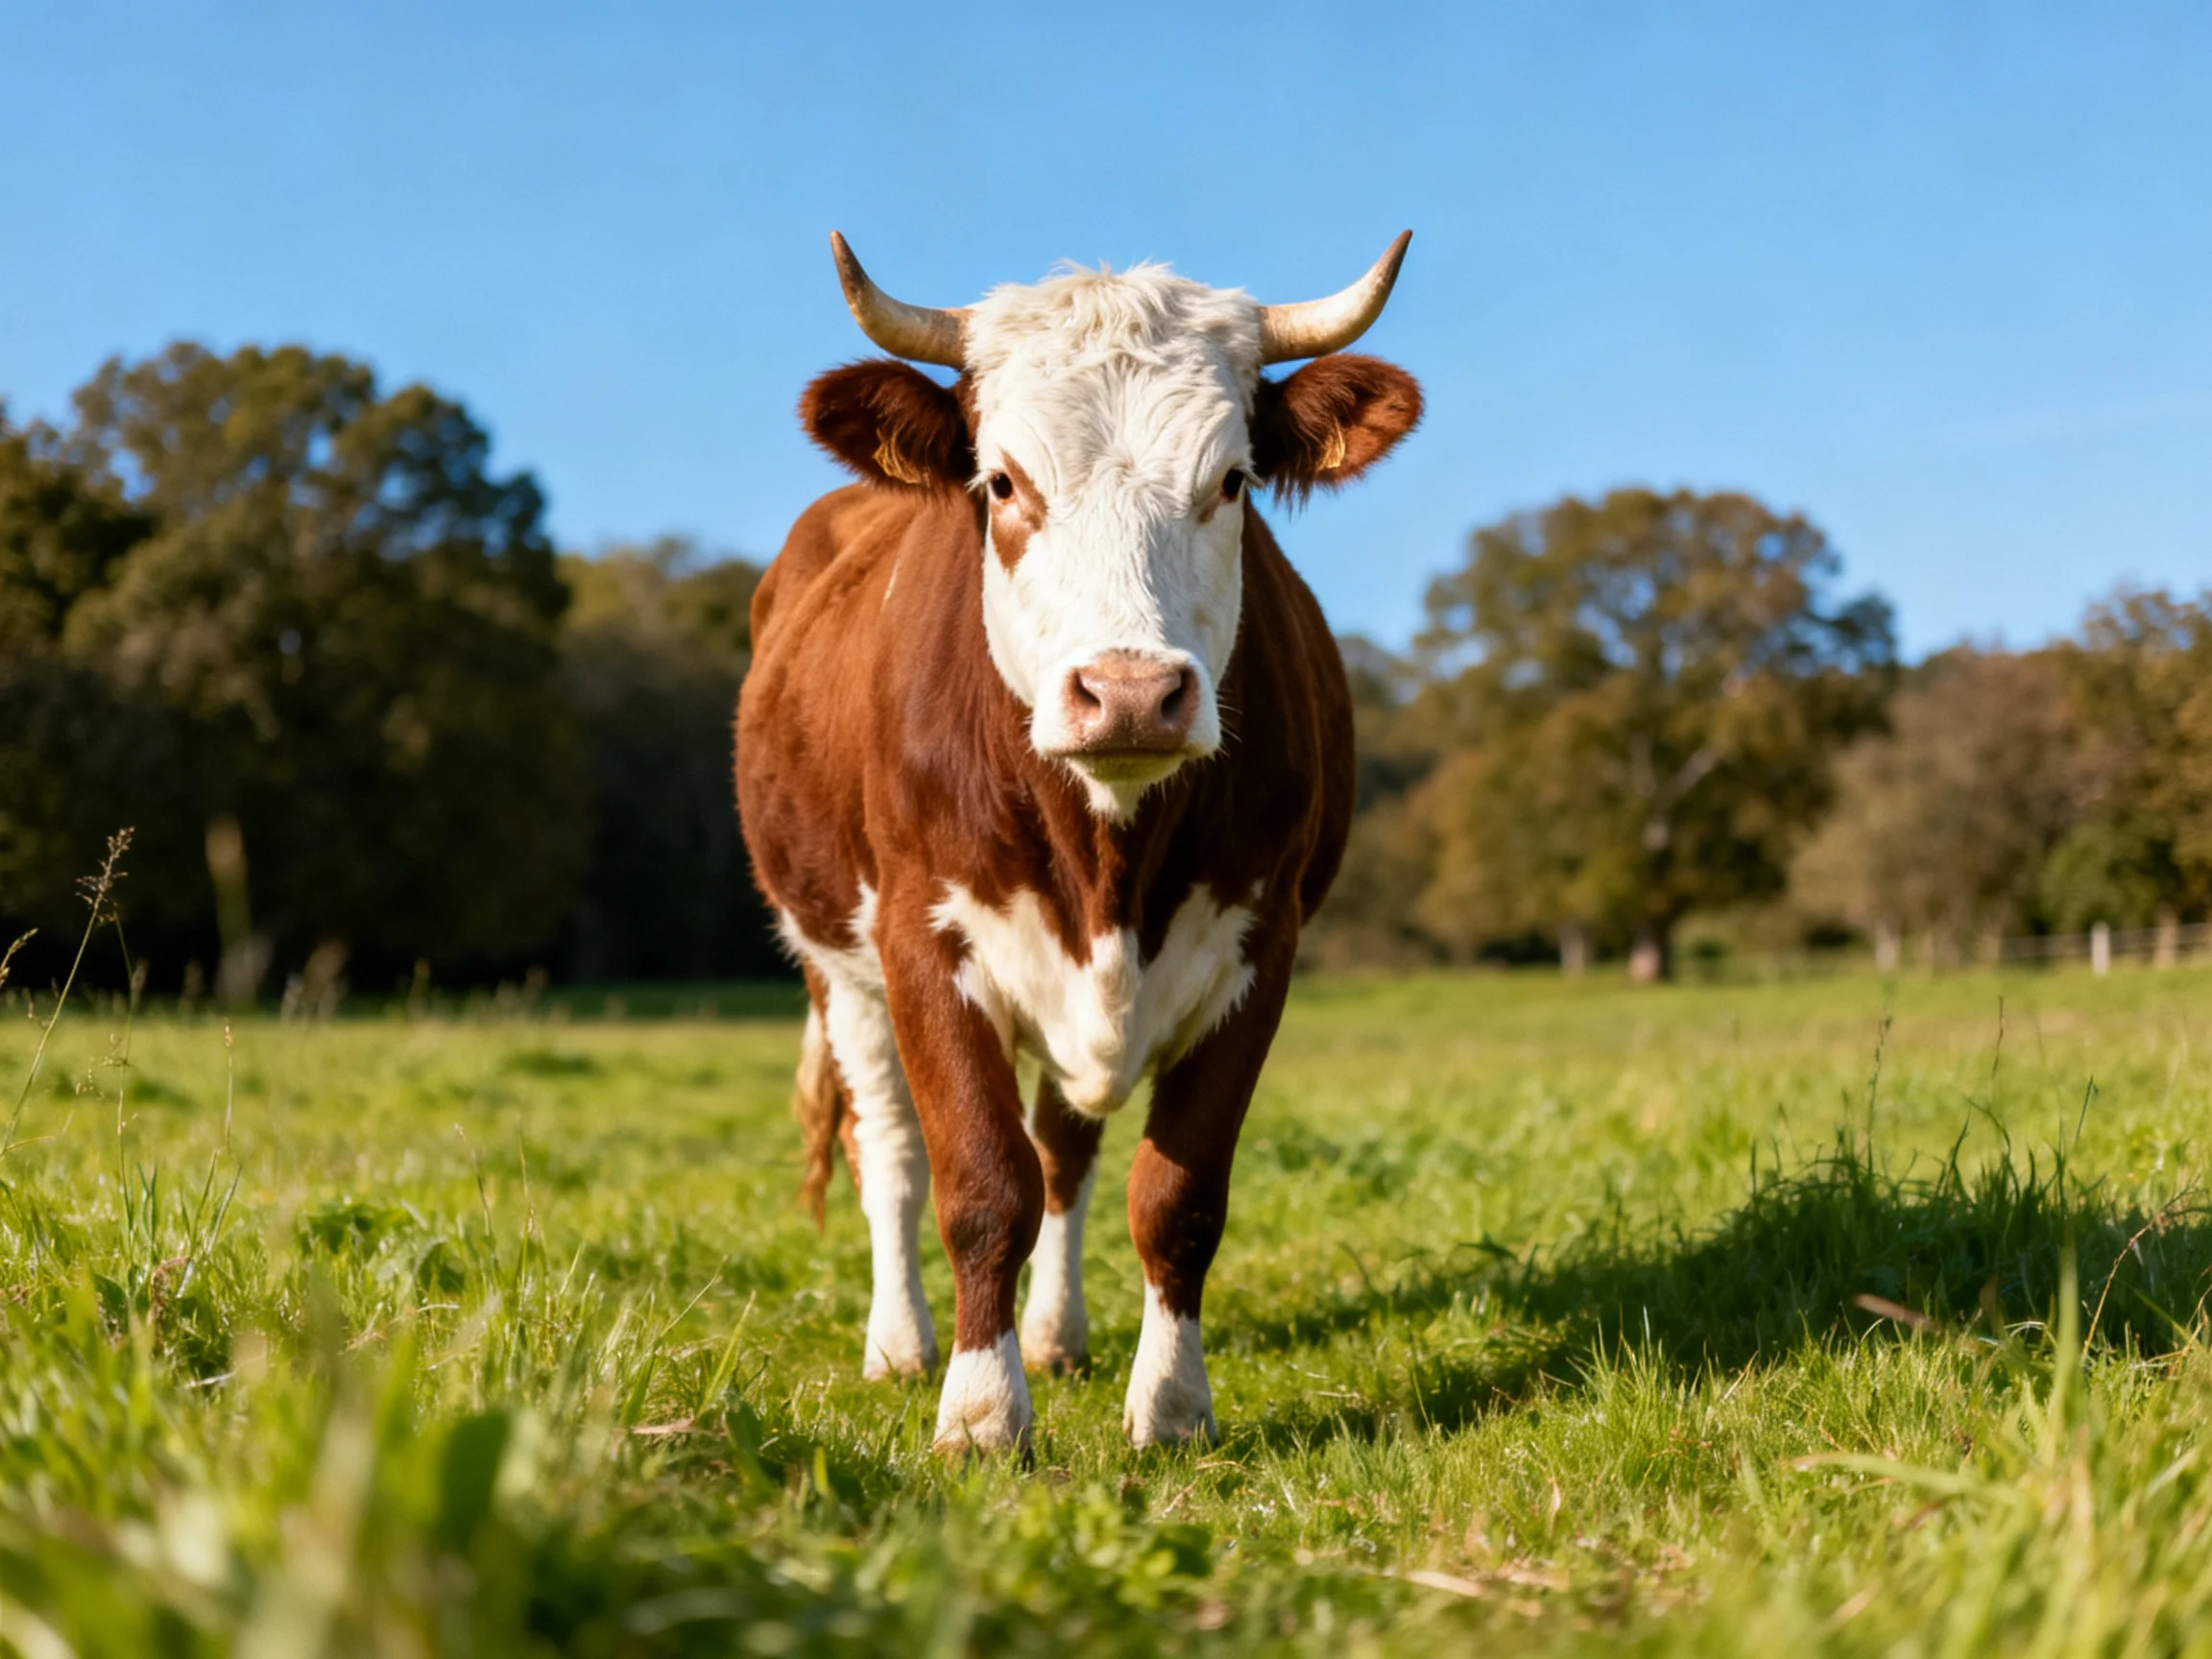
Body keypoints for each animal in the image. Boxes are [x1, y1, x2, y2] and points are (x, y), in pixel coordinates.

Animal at [736, 232, 1422, 1453]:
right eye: (1004, 483)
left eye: (1232, 482)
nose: (1132, 693)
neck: (1108, 856)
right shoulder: (923, 942)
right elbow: (976, 1183)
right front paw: (978, 1412)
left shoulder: (1260, 949)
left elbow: (1173, 1196)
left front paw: (1174, 1406)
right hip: (833, 965)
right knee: (891, 1152)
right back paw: (901, 1345)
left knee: (1064, 1153)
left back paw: (1056, 1335)